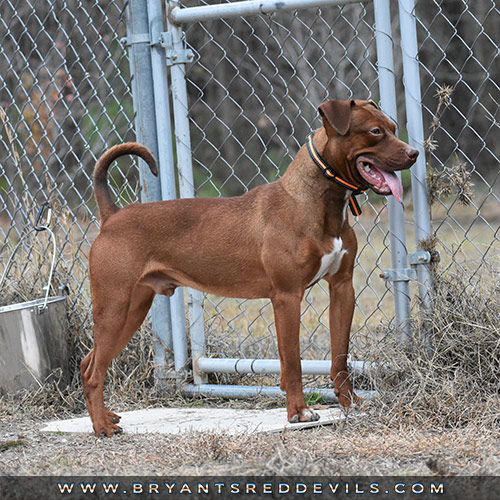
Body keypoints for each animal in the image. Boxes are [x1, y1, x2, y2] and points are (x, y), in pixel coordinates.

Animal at [83, 99, 418, 436]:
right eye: (375, 131)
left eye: (392, 127)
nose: (414, 153)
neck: (316, 201)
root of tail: (112, 216)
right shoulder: (287, 297)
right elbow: (292, 361)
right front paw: (299, 412)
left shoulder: (342, 288)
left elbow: (340, 356)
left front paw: (350, 403)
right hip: (114, 308)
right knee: (93, 372)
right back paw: (102, 426)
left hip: (132, 311)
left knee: (90, 362)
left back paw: (106, 416)